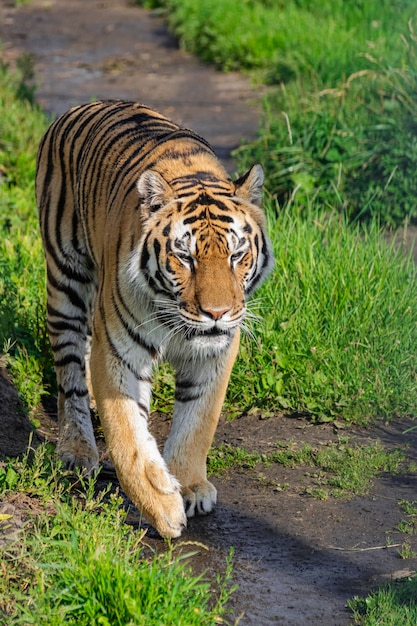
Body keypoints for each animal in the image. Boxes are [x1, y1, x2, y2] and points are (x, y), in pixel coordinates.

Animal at [36, 98, 272, 536]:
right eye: (184, 256)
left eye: (236, 254)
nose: (217, 313)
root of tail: (83, 105)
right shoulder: (119, 353)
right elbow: (127, 436)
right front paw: (162, 507)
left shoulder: (215, 353)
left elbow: (198, 421)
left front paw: (190, 486)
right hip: (65, 279)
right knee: (70, 371)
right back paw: (76, 449)